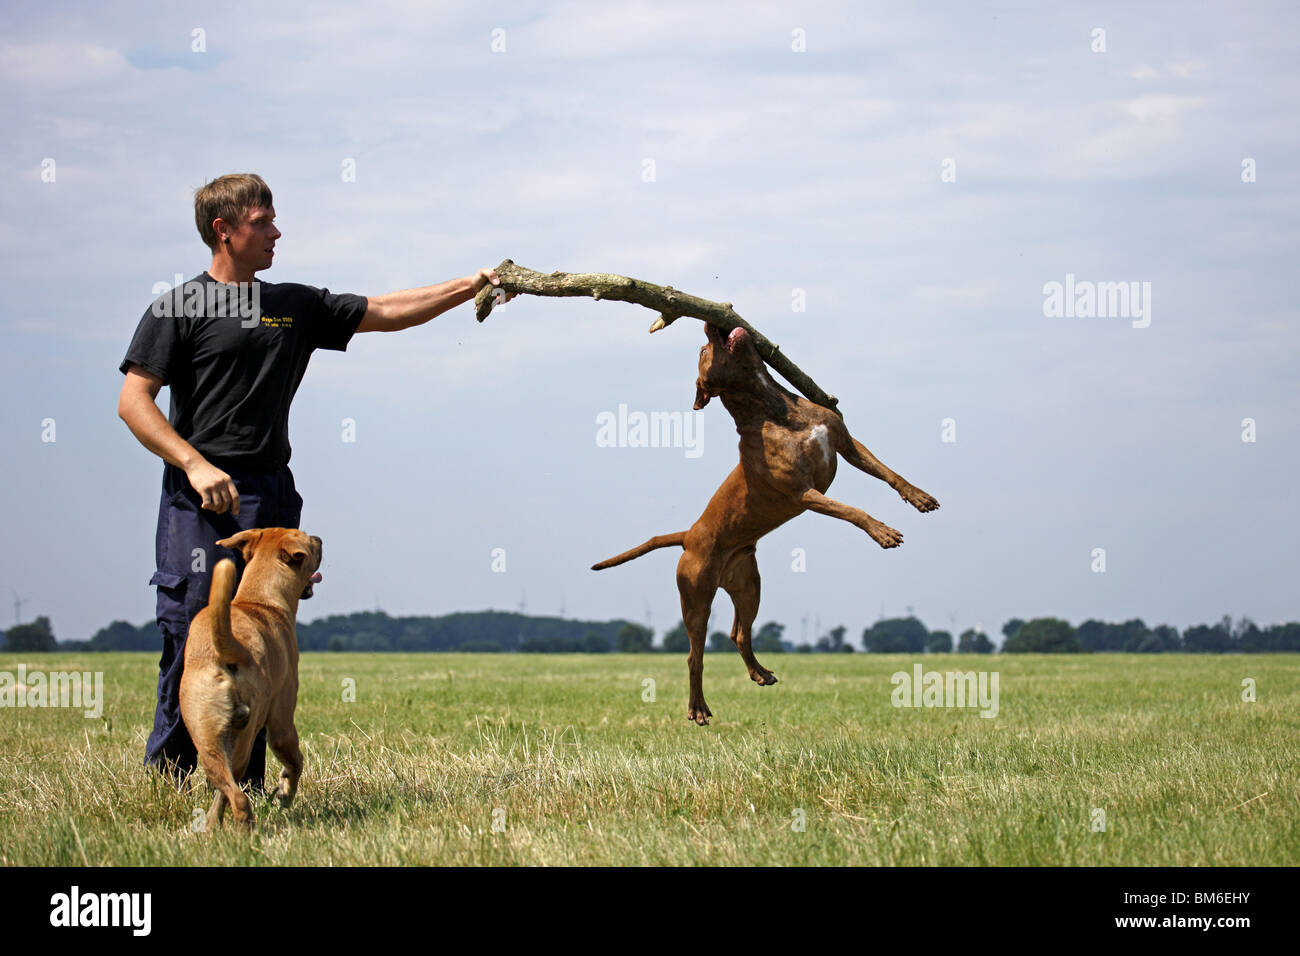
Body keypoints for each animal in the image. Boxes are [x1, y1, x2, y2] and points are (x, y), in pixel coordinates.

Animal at [180, 528, 322, 832]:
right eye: (304, 537)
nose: (319, 538)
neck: (259, 597)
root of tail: (228, 648)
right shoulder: (281, 722)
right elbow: (296, 762)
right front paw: (285, 793)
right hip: (245, 736)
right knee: (236, 793)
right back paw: (247, 829)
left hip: (206, 734)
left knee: (226, 789)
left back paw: (214, 826)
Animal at [595, 325, 941, 728]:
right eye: (703, 351)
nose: (709, 325)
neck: (772, 406)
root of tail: (689, 535)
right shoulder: (804, 493)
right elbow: (852, 510)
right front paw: (881, 531)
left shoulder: (847, 443)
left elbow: (889, 472)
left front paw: (918, 496)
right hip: (696, 596)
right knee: (695, 655)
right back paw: (698, 708)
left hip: (749, 585)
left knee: (739, 633)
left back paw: (759, 673)